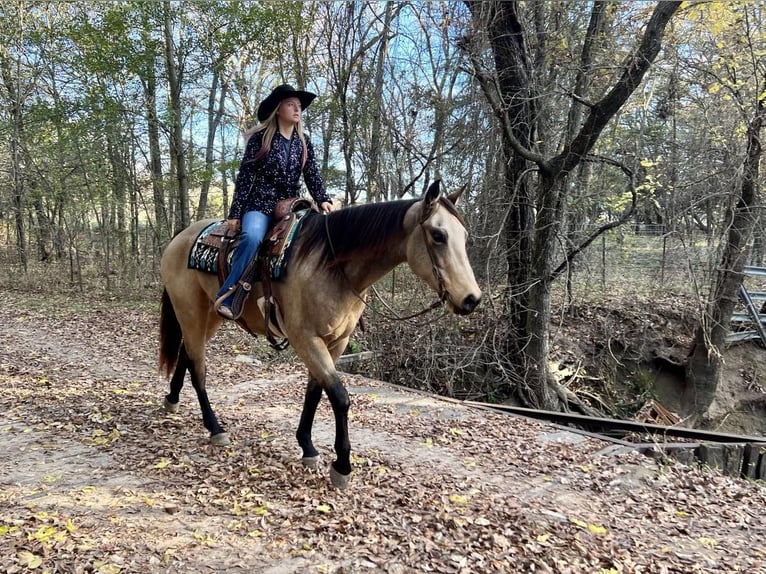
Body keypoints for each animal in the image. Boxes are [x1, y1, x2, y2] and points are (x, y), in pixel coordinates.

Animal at [158, 181, 484, 490]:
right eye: (438, 236)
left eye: (465, 236)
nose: (471, 299)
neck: (331, 265)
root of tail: (180, 237)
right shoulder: (306, 339)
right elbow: (339, 396)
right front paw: (342, 466)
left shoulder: (336, 342)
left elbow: (315, 391)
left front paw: (307, 446)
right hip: (190, 311)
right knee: (198, 367)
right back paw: (215, 428)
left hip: (210, 317)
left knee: (187, 353)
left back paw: (172, 399)